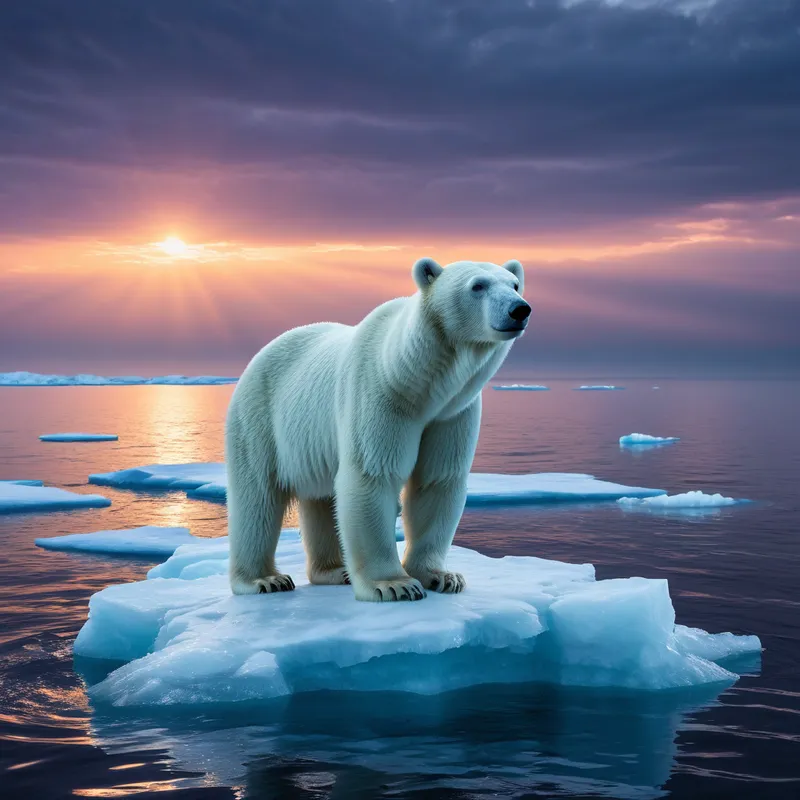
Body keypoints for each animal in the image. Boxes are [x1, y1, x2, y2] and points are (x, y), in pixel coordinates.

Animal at [225, 258, 530, 602]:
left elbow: (437, 480)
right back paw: (264, 579)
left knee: (320, 497)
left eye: (514, 285)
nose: (520, 309)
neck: (417, 378)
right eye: (478, 285)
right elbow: (373, 474)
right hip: (260, 418)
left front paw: (442, 576)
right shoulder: (381, 393)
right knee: (257, 496)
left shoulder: (453, 411)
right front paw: (395, 584)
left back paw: (334, 571)